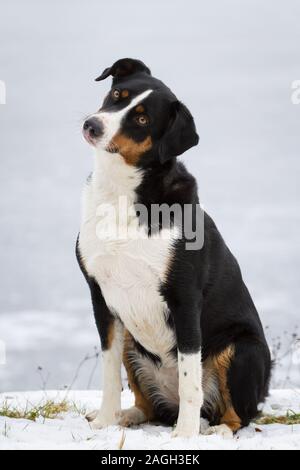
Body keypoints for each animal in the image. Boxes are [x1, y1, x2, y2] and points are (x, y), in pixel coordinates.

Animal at [77, 57, 272, 436]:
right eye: (116, 95)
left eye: (142, 120)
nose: (92, 125)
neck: (122, 195)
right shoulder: (100, 296)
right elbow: (109, 377)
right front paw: (105, 421)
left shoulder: (184, 298)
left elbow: (189, 381)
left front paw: (184, 436)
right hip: (132, 339)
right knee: (148, 405)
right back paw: (127, 417)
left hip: (242, 348)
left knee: (240, 414)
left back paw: (215, 430)